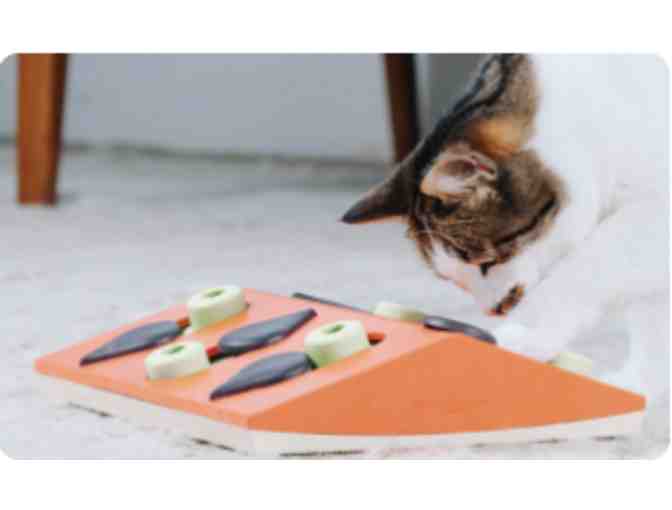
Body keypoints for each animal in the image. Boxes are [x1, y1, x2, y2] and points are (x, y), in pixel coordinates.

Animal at [342, 54, 669, 401]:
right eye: (451, 278)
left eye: (486, 262)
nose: (491, 311)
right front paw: (642, 384)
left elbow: (582, 269)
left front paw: (529, 332)